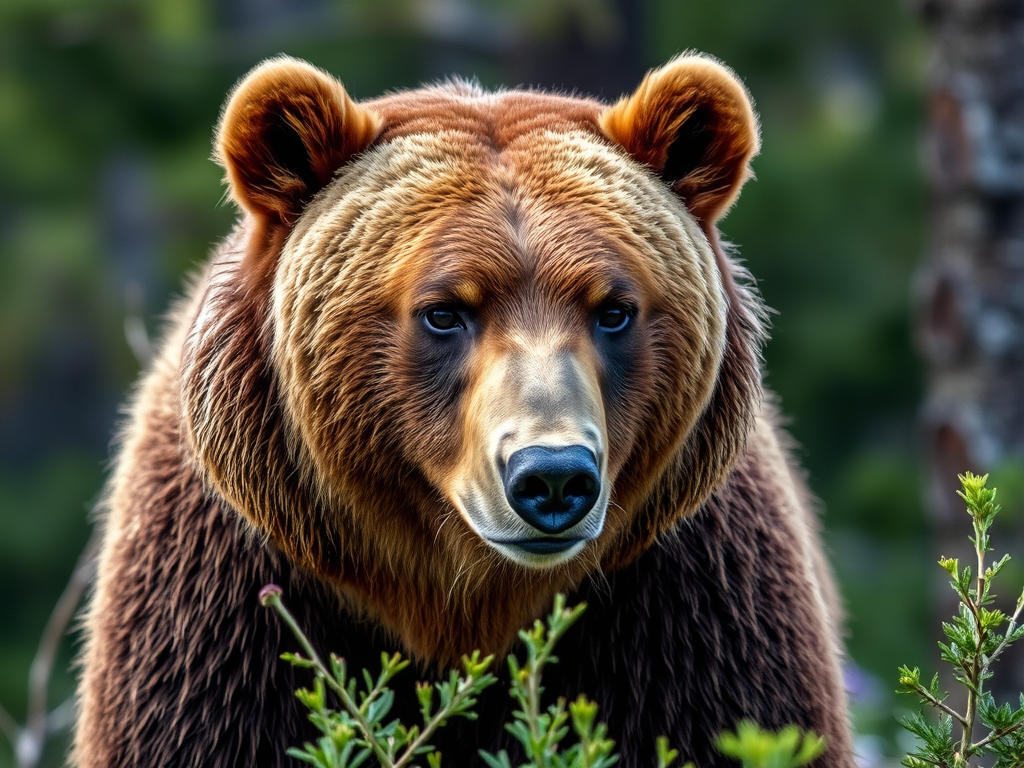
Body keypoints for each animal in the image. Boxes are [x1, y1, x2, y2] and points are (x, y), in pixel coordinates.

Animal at [73, 54, 856, 768]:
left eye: (614, 309)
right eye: (444, 311)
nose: (552, 477)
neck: (461, 609)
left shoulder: (687, 613)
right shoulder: (224, 614)